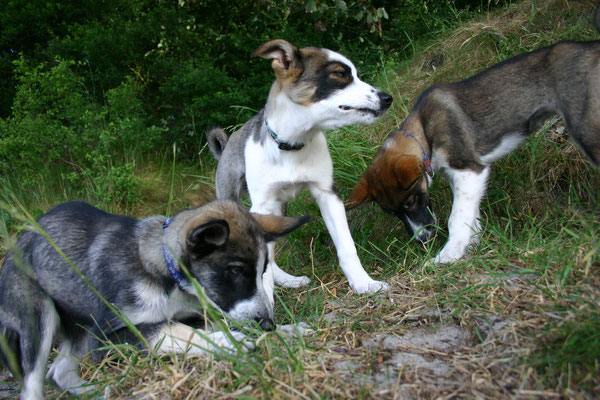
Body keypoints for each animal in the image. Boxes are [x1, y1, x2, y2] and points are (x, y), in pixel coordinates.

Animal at [0, 202, 310, 398]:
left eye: (263, 270)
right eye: (235, 270)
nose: (268, 323)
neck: (169, 278)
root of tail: (20, 239)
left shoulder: (193, 312)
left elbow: (206, 323)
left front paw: (286, 331)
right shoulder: (107, 337)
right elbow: (170, 330)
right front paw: (227, 341)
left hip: (79, 325)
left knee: (60, 370)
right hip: (40, 317)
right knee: (32, 384)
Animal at [206, 39, 394, 296]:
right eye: (340, 74)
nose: (387, 98)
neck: (292, 146)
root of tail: (224, 148)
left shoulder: (327, 193)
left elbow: (346, 245)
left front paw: (364, 283)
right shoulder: (263, 205)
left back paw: (288, 280)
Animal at [346, 9, 600, 264]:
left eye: (412, 200)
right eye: (392, 212)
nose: (422, 240)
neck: (425, 131)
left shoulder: (470, 169)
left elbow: (456, 219)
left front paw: (446, 257)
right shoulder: (460, 177)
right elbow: (470, 216)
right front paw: (473, 247)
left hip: (587, 132)